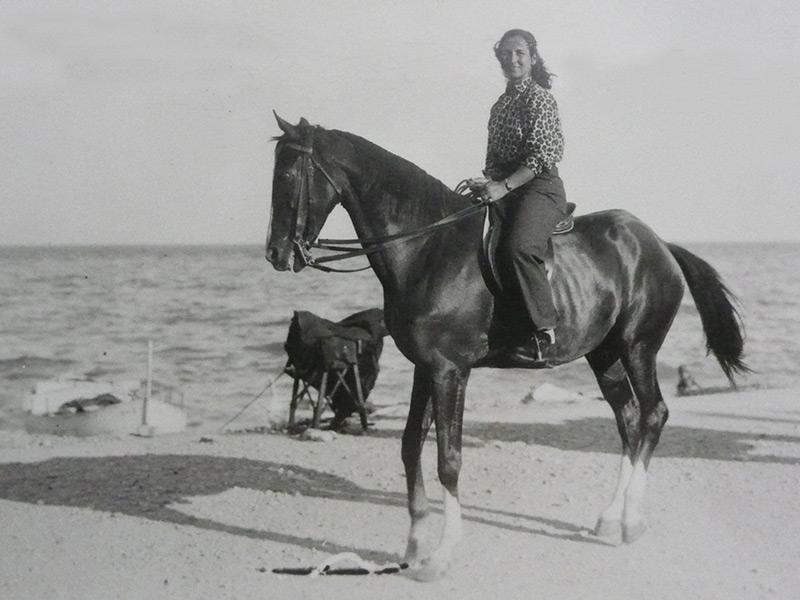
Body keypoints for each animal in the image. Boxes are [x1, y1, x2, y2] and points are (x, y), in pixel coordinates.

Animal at [265, 114, 747, 580]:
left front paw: (441, 556)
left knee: (652, 414)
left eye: (288, 175)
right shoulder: (426, 367)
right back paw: (610, 518)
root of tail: (658, 243)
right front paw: (414, 545)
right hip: (604, 354)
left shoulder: (450, 370)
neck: (427, 248)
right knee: (628, 419)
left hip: (638, 346)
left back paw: (630, 519)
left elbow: (448, 458)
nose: (275, 254)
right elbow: (410, 446)